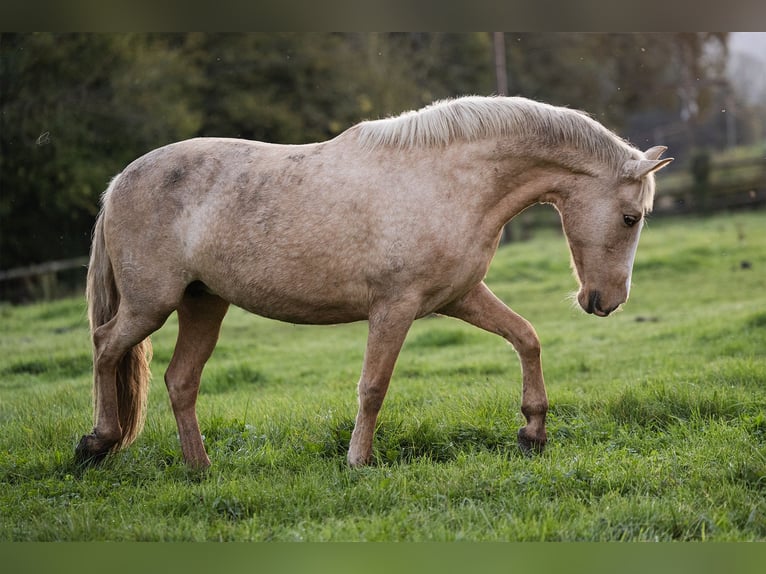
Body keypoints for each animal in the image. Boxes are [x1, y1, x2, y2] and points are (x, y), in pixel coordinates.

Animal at [73, 97, 672, 470]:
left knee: (180, 381)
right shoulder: (394, 307)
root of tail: (119, 182)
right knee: (105, 347)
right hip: (152, 305)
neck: (447, 180)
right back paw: (96, 444)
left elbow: (526, 337)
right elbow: (374, 386)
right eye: (630, 218)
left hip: (203, 304)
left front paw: (533, 433)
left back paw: (200, 469)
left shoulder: (459, 298)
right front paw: (358, 461)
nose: (606, 302)